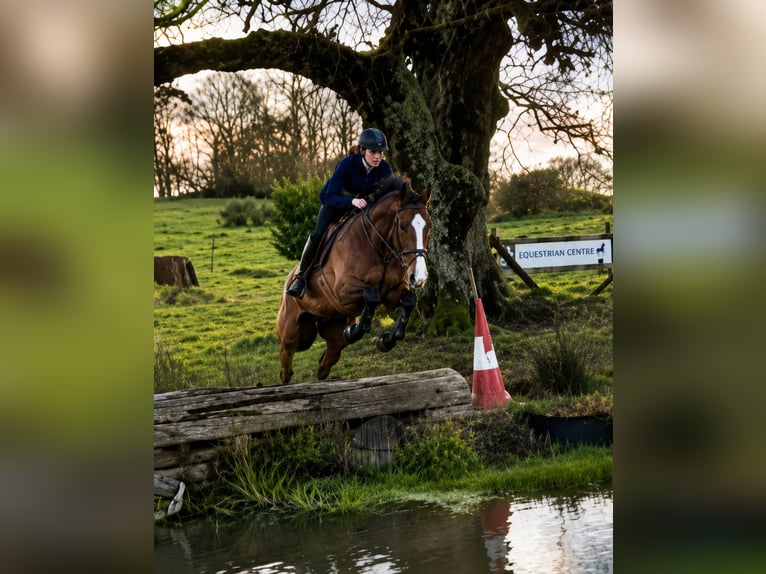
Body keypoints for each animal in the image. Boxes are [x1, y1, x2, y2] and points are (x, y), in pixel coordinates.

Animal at [276, 175, 432, 384]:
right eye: (402, 226)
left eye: (429, 226)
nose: (420, 277)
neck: (379, 248)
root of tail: (289, 278)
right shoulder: (341, 291)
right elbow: (372, 295)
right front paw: (354, 331)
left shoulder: (392, 294)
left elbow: (408, 300)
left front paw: (386, 340)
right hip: (290, 331)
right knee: (286, 364)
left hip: (333, 332)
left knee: (325, 363)